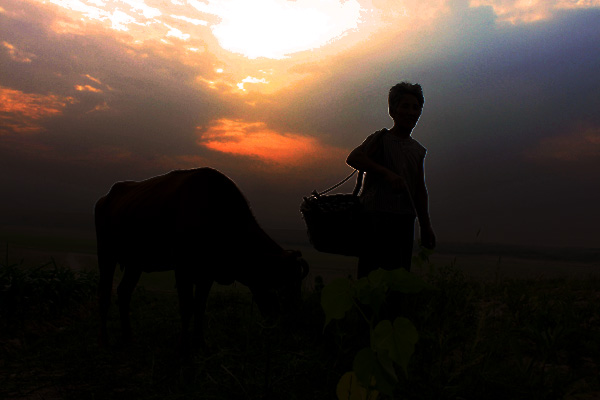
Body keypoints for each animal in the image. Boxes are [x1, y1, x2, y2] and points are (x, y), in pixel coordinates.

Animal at [96, 167, 310, 346]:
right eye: (283, 290)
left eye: (298, 287)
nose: (297, 322)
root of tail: (106, 198)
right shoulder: (183, 270)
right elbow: (187, 306)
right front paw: (184, 344)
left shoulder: (207, 274)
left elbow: (199, 306)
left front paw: (199, 342)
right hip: (106, 255)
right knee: (105, 294)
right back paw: (104, 339)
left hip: (135, 264)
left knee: (123, 292)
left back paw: (128, 337)